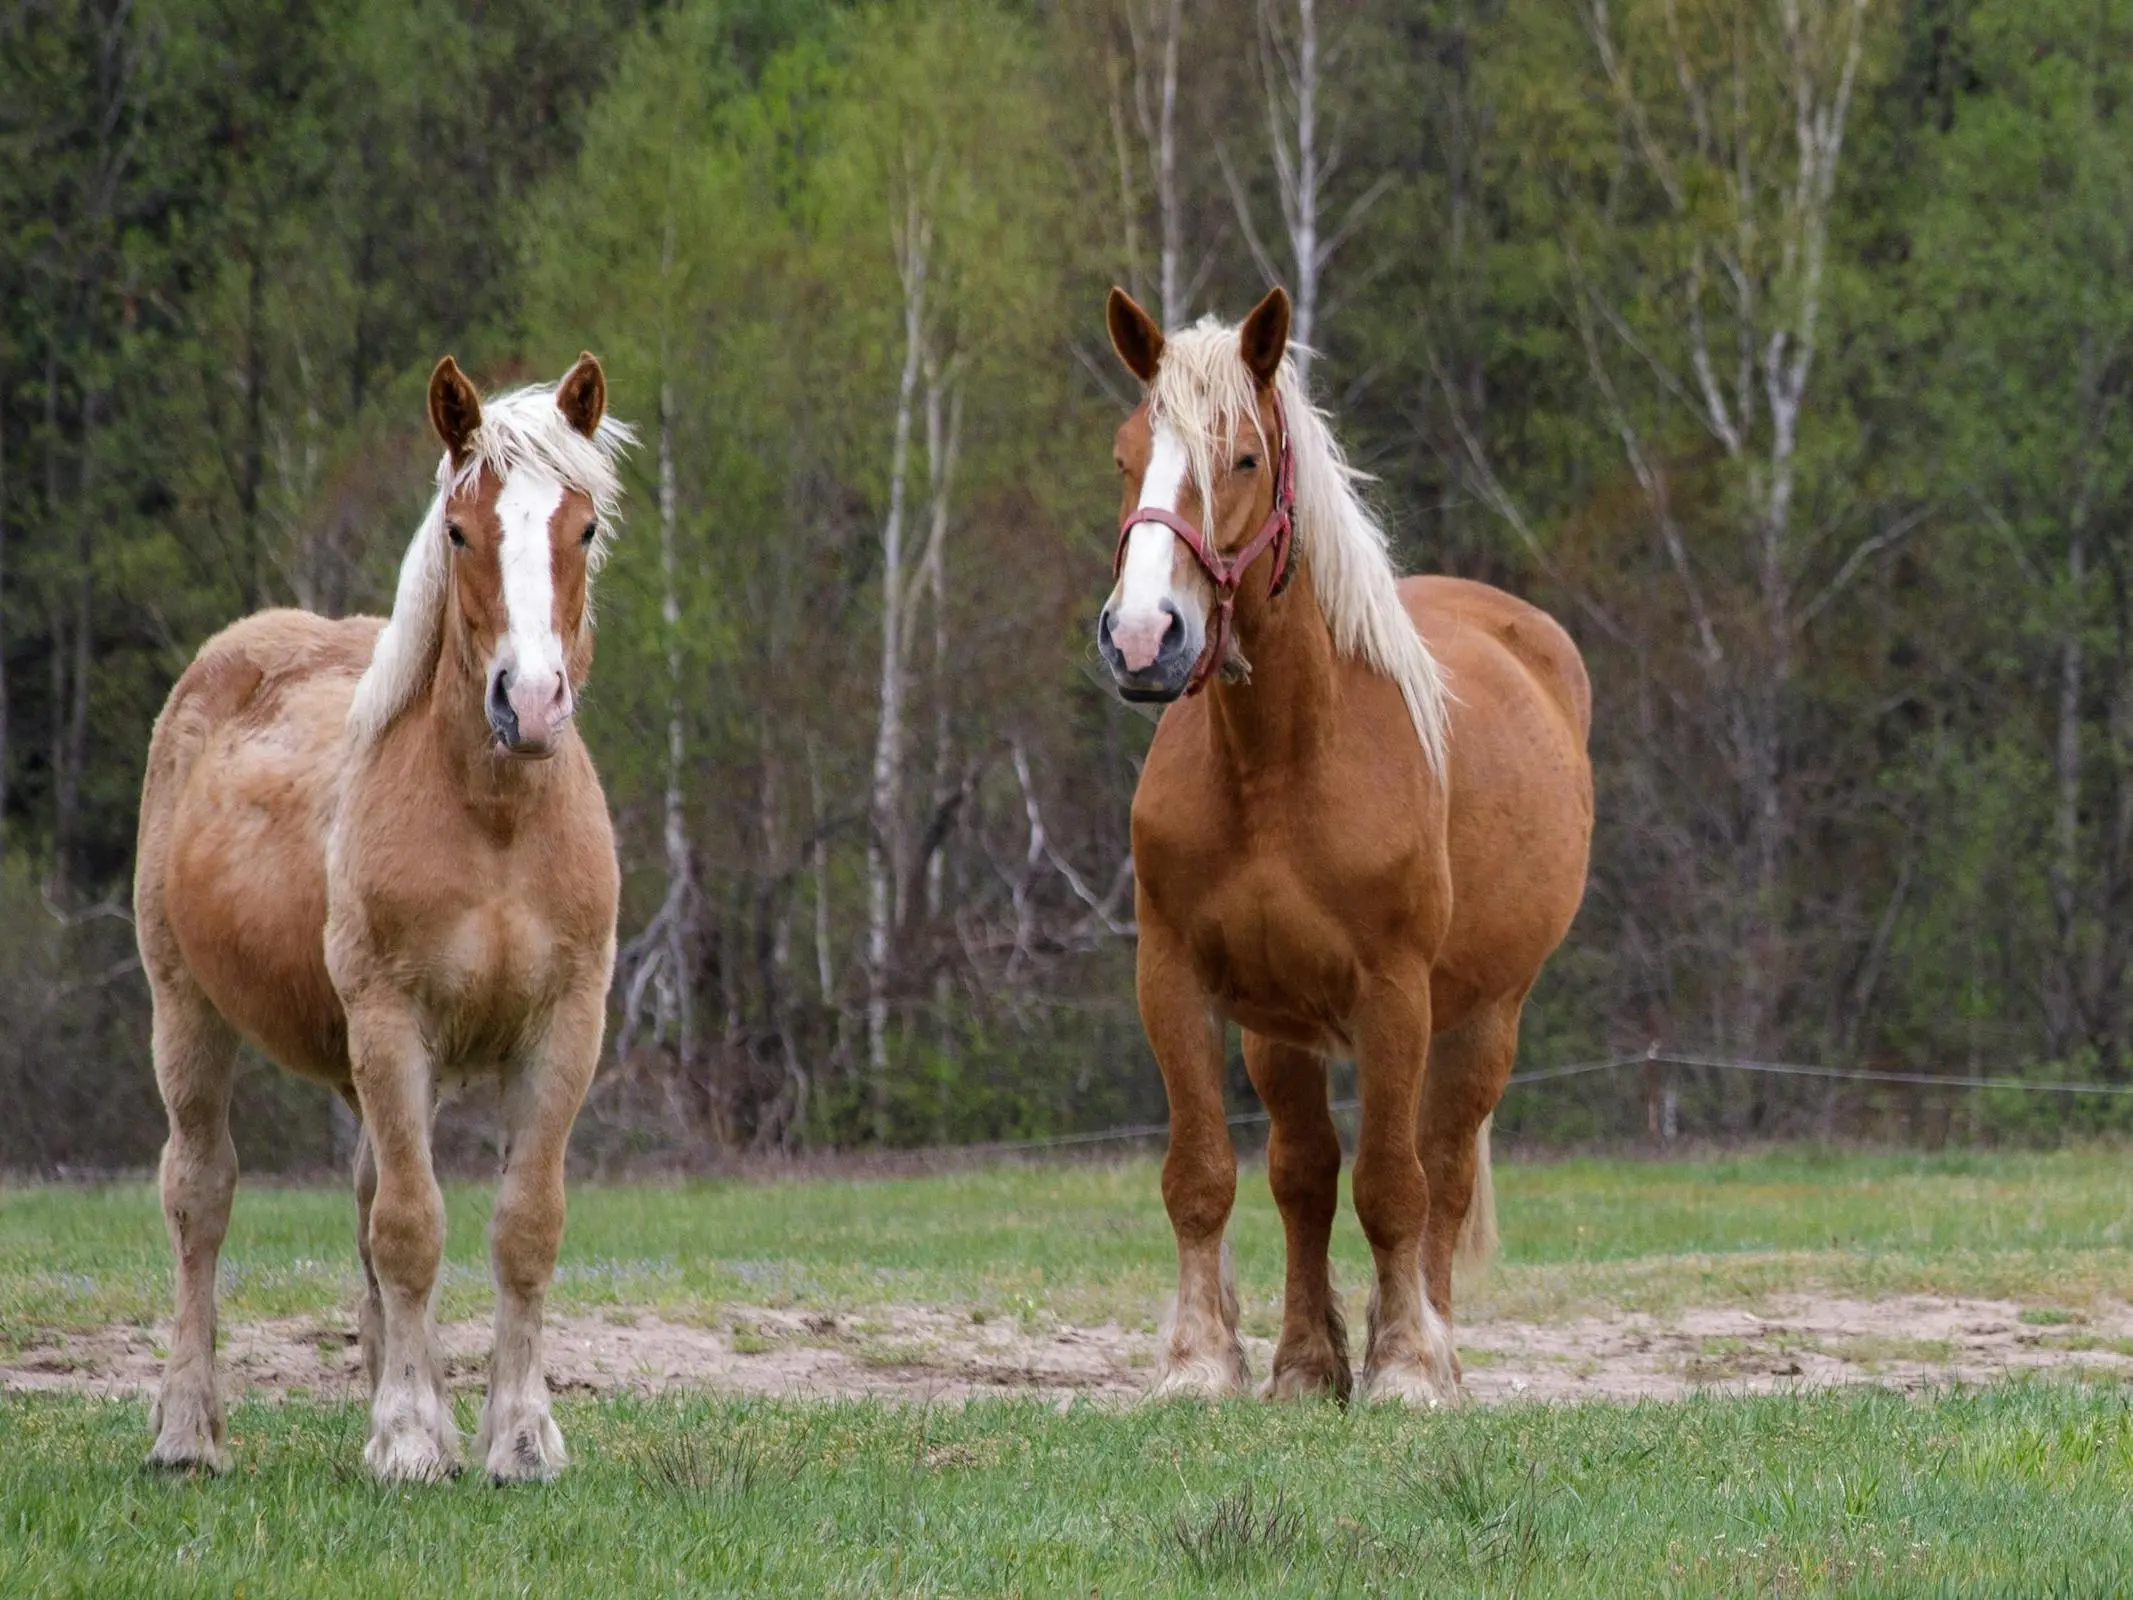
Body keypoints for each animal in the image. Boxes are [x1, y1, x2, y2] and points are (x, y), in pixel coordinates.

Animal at [133, 356, 627, 1484]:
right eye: (460, 531)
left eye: (581, 528)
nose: (531, 704)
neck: (494, 823)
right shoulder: (392, 1021)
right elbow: (410, 1227)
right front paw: (405, 1440)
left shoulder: (566, 1027)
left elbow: (521, 1227)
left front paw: (513, 1437)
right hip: (187, 1011)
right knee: (201, 1196)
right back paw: (188, 1431)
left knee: (365, 1199)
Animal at [1100, 288, 1586, 1399]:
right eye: (1125, 455)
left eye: (1242, 458)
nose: (1144, 639)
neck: (1279, 764)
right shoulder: (1177, 980)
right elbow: (1205, 1175)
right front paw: (1203, 1363)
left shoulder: (1394, 996)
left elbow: (1396, 1188)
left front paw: (1406, 1367)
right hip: (1280, 1028)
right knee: (1303, 1173)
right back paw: (1309, 1360)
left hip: (1483, 1017)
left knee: (1438, 1171)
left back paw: (1432, 1347)